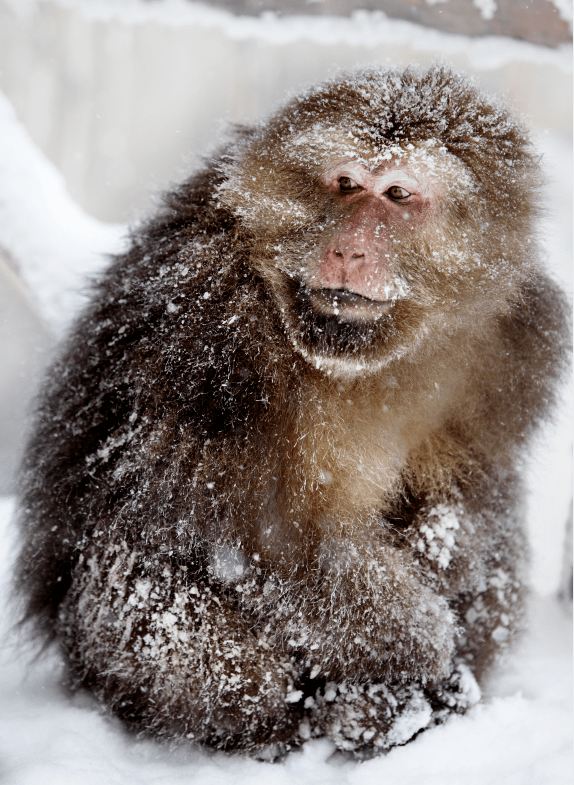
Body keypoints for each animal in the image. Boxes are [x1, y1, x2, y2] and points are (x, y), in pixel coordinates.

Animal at [13, 69, 572, 760]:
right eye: (346, 184)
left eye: (397, 194)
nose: (349, 250)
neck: (359, 353)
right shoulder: (208, 328)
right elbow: (260, 531)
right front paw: (417, 640)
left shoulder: (514, 341)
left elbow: (476, 489)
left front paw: (444, 566)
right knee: (150, 586)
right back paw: (317, 722)